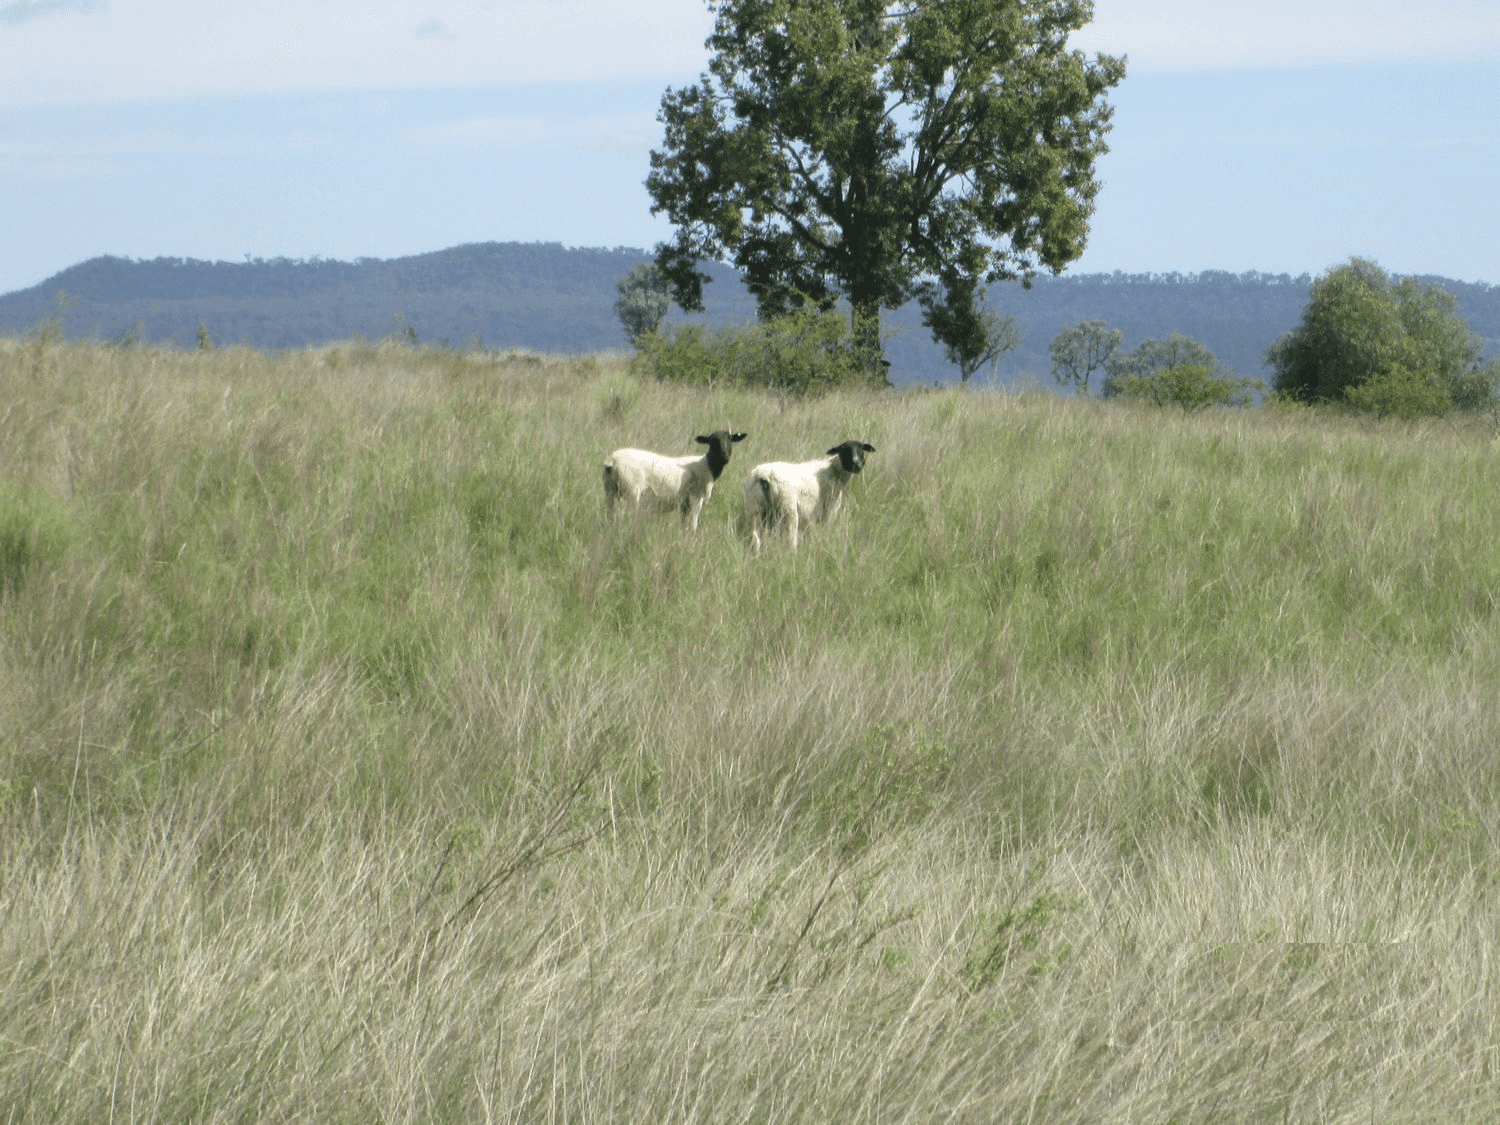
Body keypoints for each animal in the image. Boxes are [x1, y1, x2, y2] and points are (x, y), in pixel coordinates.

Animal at [603, 435, 750, 534]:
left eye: (730, 440)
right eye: (713, 441)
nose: (725, 457)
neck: (707, 465)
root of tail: (613, 460)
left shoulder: (685, 504)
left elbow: (684, 525)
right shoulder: (696, 498)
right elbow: (693, 524)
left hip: (610, 491)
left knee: (610, 516)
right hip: (631, 492)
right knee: (628, 516)